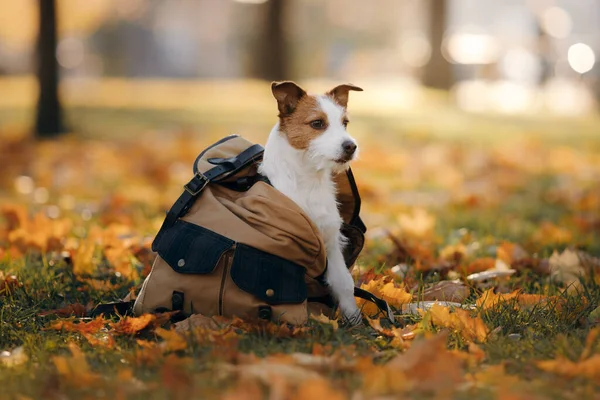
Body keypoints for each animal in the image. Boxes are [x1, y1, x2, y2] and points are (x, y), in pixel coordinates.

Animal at [256, 81, 360, 324]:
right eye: (317, 123)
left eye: (345, 123)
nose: (351, 146)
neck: (310, 183)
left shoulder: (331, 244)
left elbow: (344, 283)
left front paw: (355, 320)